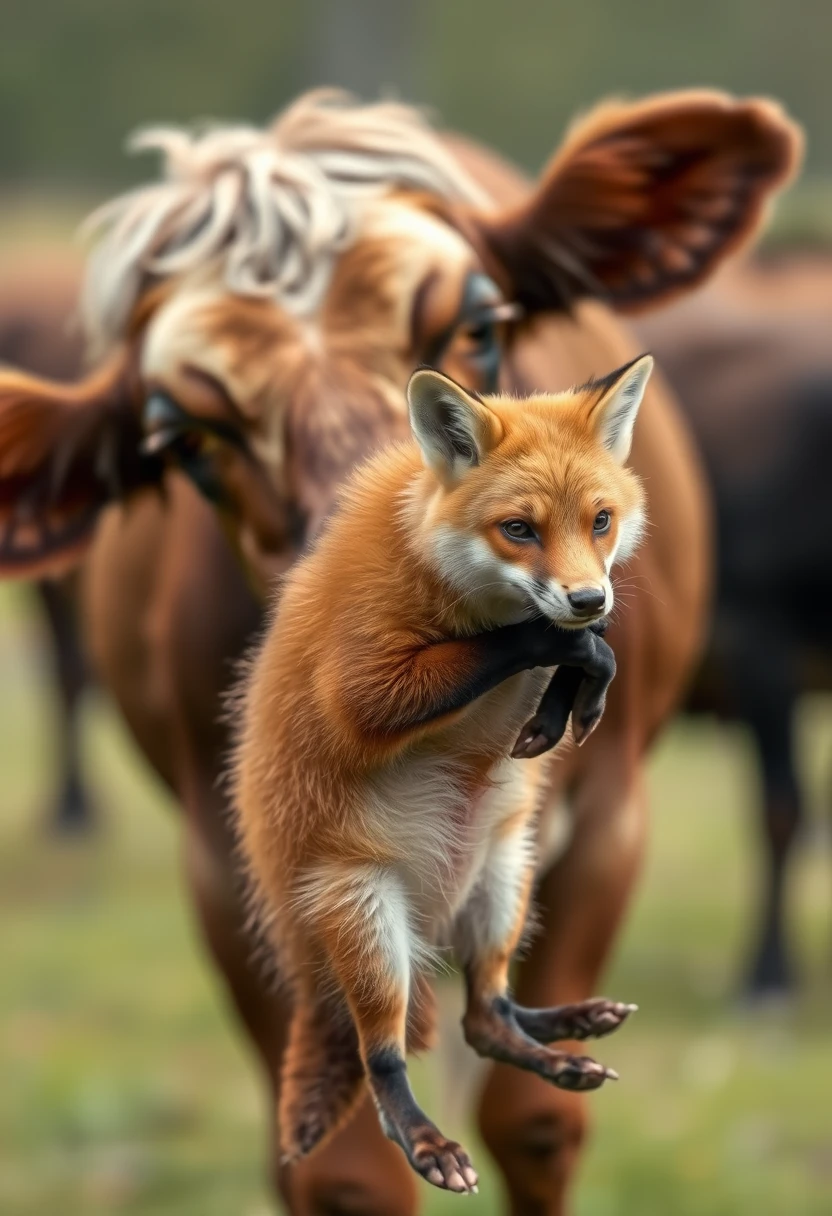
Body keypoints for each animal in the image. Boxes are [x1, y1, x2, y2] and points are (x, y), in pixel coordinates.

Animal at [231, 355, 651, 1196]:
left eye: (601, 521)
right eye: (518, 529)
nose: (589, 594)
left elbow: (584, 647)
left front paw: (562, 706)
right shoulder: (364, 682)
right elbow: (548, 639)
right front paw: (571, 678)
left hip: (505, 879)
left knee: (486, 1016)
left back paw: (564, 1036)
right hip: (368, 921)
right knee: (386, 1056)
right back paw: (427, 1142)